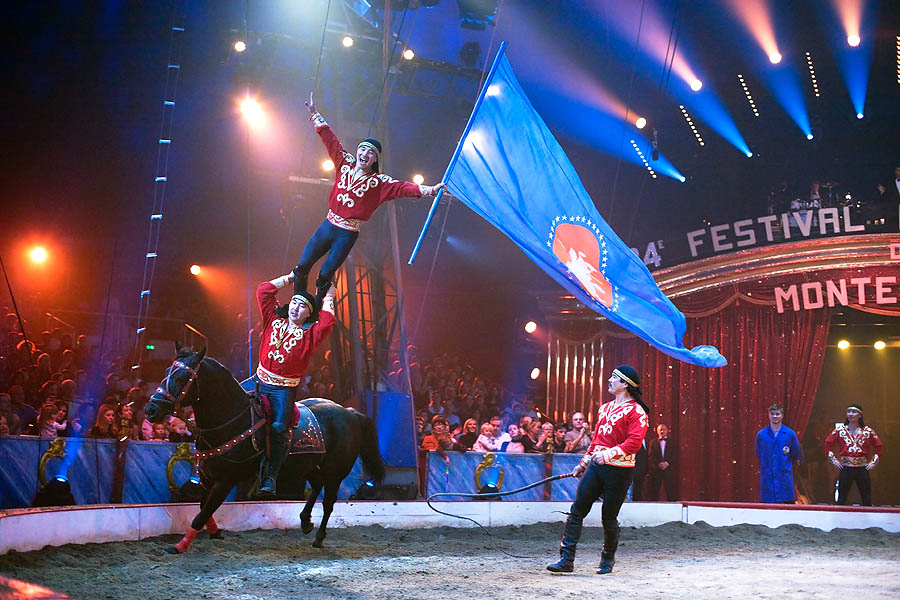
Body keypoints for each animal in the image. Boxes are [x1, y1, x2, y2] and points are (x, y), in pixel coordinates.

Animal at [144, 346, 384, 552]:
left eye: (182, 377)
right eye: (166, 372)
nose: (151, 409)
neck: (233, 420)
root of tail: (349, 412)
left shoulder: (225, 481)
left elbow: (202, 514)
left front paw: (179, 547)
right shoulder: (205, 477)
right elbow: (204, 508)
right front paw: (215, 532)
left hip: (335, 472)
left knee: (328, 503)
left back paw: (318, 536)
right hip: (310, 465)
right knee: (316, 486)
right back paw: (305, 521)